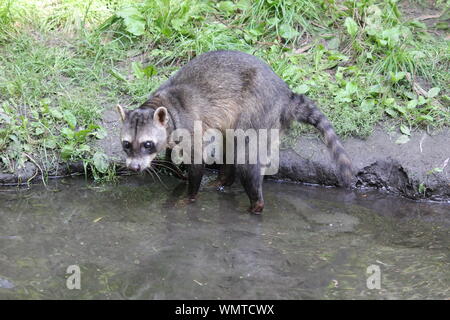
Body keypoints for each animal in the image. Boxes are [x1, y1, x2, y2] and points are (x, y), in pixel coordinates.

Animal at [118, 50, 354, 214]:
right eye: (127, 144)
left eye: (147, 144)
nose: (133, 168)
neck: (163, 103)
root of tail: (286, 95)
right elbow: (171, 156)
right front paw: (175, 170)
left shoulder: (189, 126)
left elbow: (198, 162)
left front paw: (190, 194)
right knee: (229, 143)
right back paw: (224, 180)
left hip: (258, 113)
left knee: (244, 157)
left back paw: (255, 204)